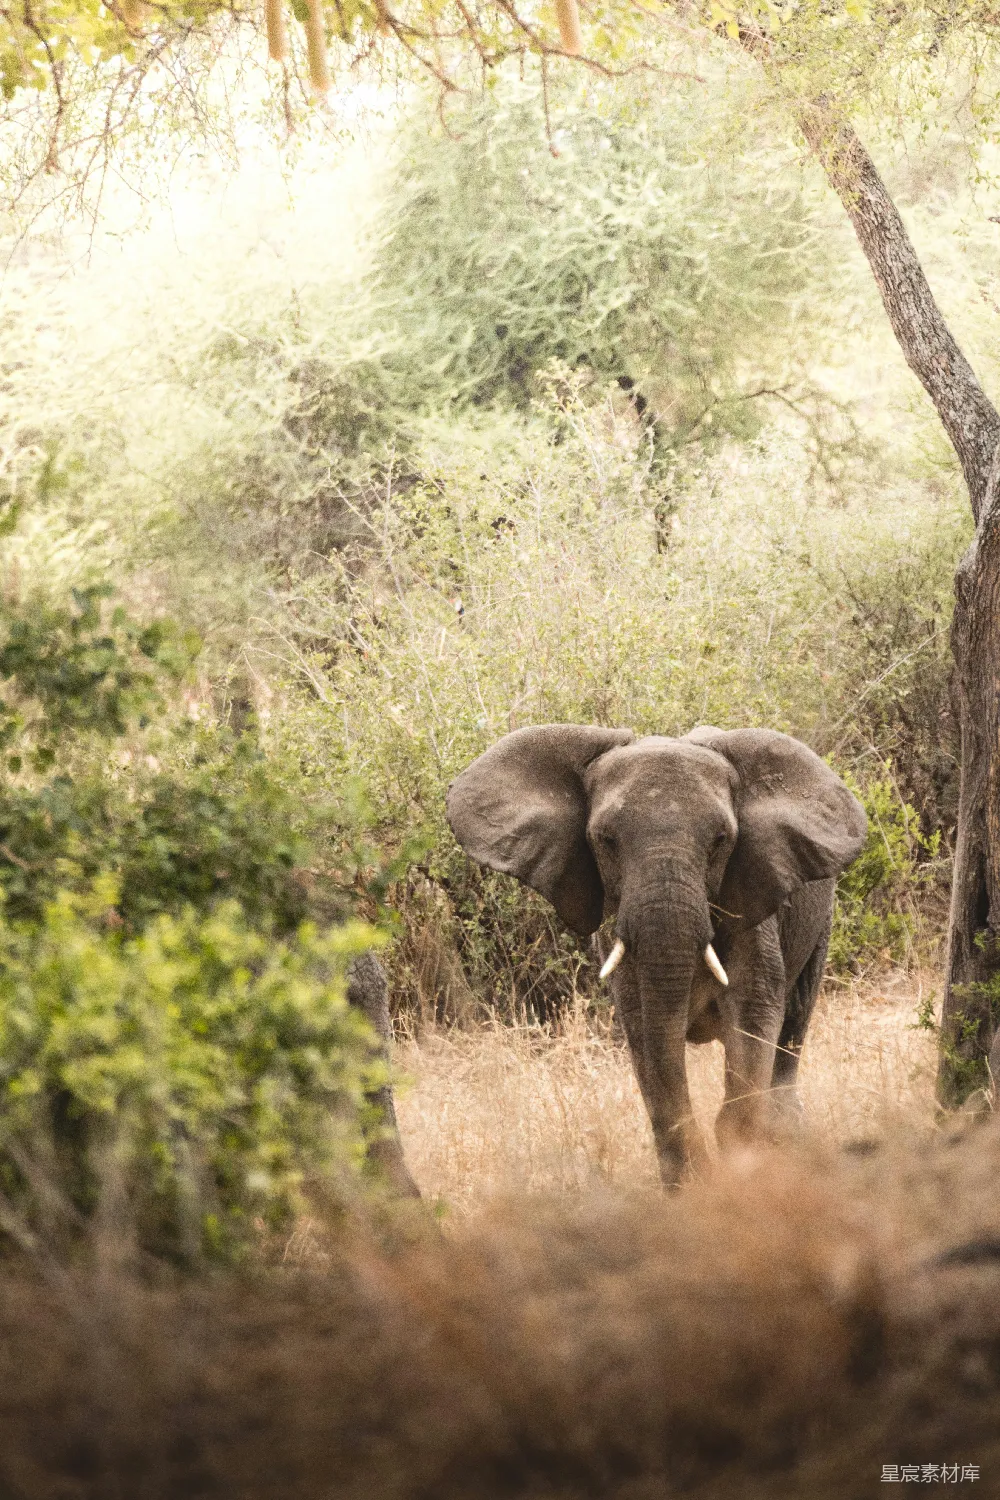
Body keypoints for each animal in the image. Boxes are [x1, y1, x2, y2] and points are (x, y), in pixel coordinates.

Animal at [446, 724, 867, 1187]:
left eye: (722, 840)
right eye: (606, 841)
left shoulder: (755, 914)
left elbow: (754, 1016)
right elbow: (644, 1032)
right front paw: (690, 1186)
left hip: (820, 921)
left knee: (793, 1024)